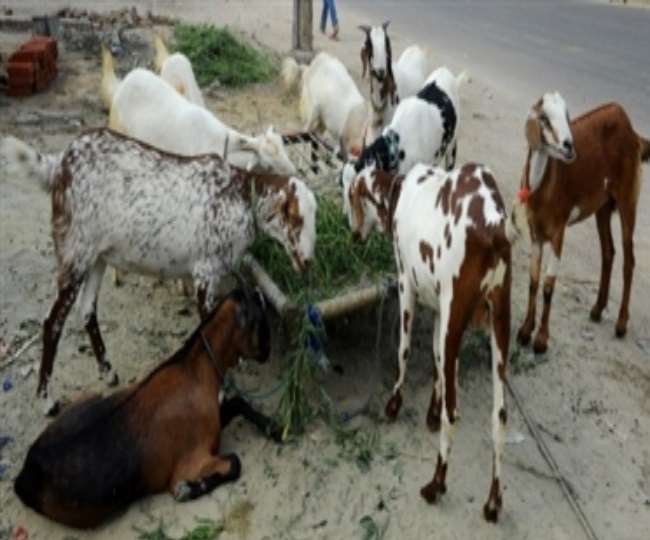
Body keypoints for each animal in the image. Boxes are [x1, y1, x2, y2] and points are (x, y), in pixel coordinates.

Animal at [0, 129, 316, 412]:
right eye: (296, 217)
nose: (308, 262)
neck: (238, 196)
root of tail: (58, 165)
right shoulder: (205, 272)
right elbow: (210, 330)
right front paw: (221, 391)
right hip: (74, 251)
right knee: (52, 322)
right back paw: (47, 400)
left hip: (97, 256)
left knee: (86, 309)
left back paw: (108, 372)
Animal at [14, 287, 280, 529]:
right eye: (261, 317)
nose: (268, 352)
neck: (194, 369)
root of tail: (26, 475)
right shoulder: (191, 461)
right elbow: (234, 463)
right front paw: (188, 489)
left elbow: (237, 403)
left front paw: (273, 427)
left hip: (90, 398)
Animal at [346, 162, 515, 522]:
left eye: (352, 196)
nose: (354, 235)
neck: (397, 193)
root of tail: (493, 228)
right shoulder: (440, 309)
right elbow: (437, 360)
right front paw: (431, 412)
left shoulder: (405, 284)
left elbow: (404, 349)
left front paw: (394, 404)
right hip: (498, 325)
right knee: (500, 416)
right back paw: (493, 503)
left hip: (457, 313)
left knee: (455, 413)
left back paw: (436, 485)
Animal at [516, 93, 650, 352]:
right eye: (544, 118)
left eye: (567, 115)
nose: (569, 146)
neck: (543, 187)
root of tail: (633, 132)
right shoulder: (535, 232)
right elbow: (533, 280)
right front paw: (525, 331)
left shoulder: (558, 230)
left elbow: (548, 284)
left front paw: (541, 340)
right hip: (603, 206)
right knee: (608, 251)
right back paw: (597, 310)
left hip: (628, 197)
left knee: (629, 259)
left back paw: (621, 324)